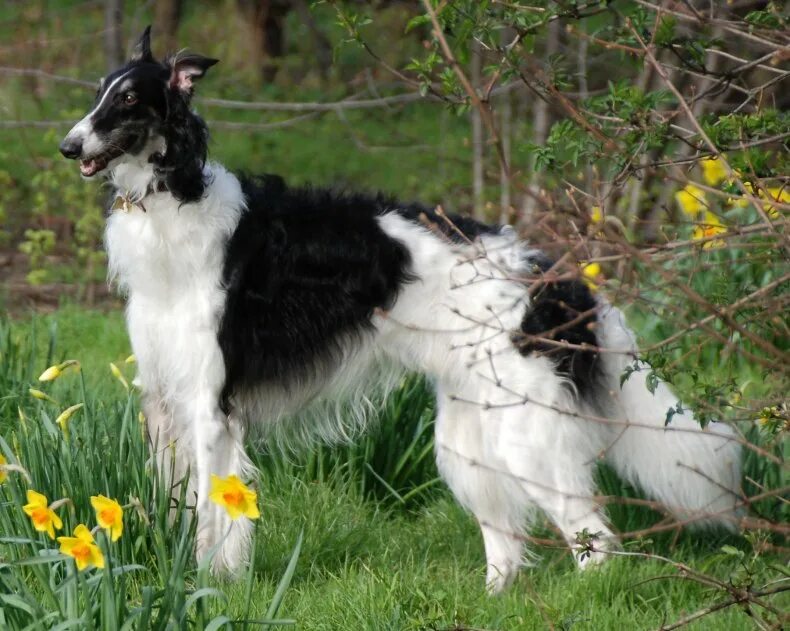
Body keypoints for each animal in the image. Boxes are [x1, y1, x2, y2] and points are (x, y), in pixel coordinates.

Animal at [60, 28, 744, 592]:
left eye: (129, 99)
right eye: (98, 93)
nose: (68, 145)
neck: (176, 202)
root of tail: (551, 275)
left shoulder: (211, 406)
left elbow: (209, 520)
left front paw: (208, 588)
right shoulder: (165, 401)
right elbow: (185, 510)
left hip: (527, 436)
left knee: (595, 540)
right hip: (467, 432)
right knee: (507, 544)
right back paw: (491, 599)